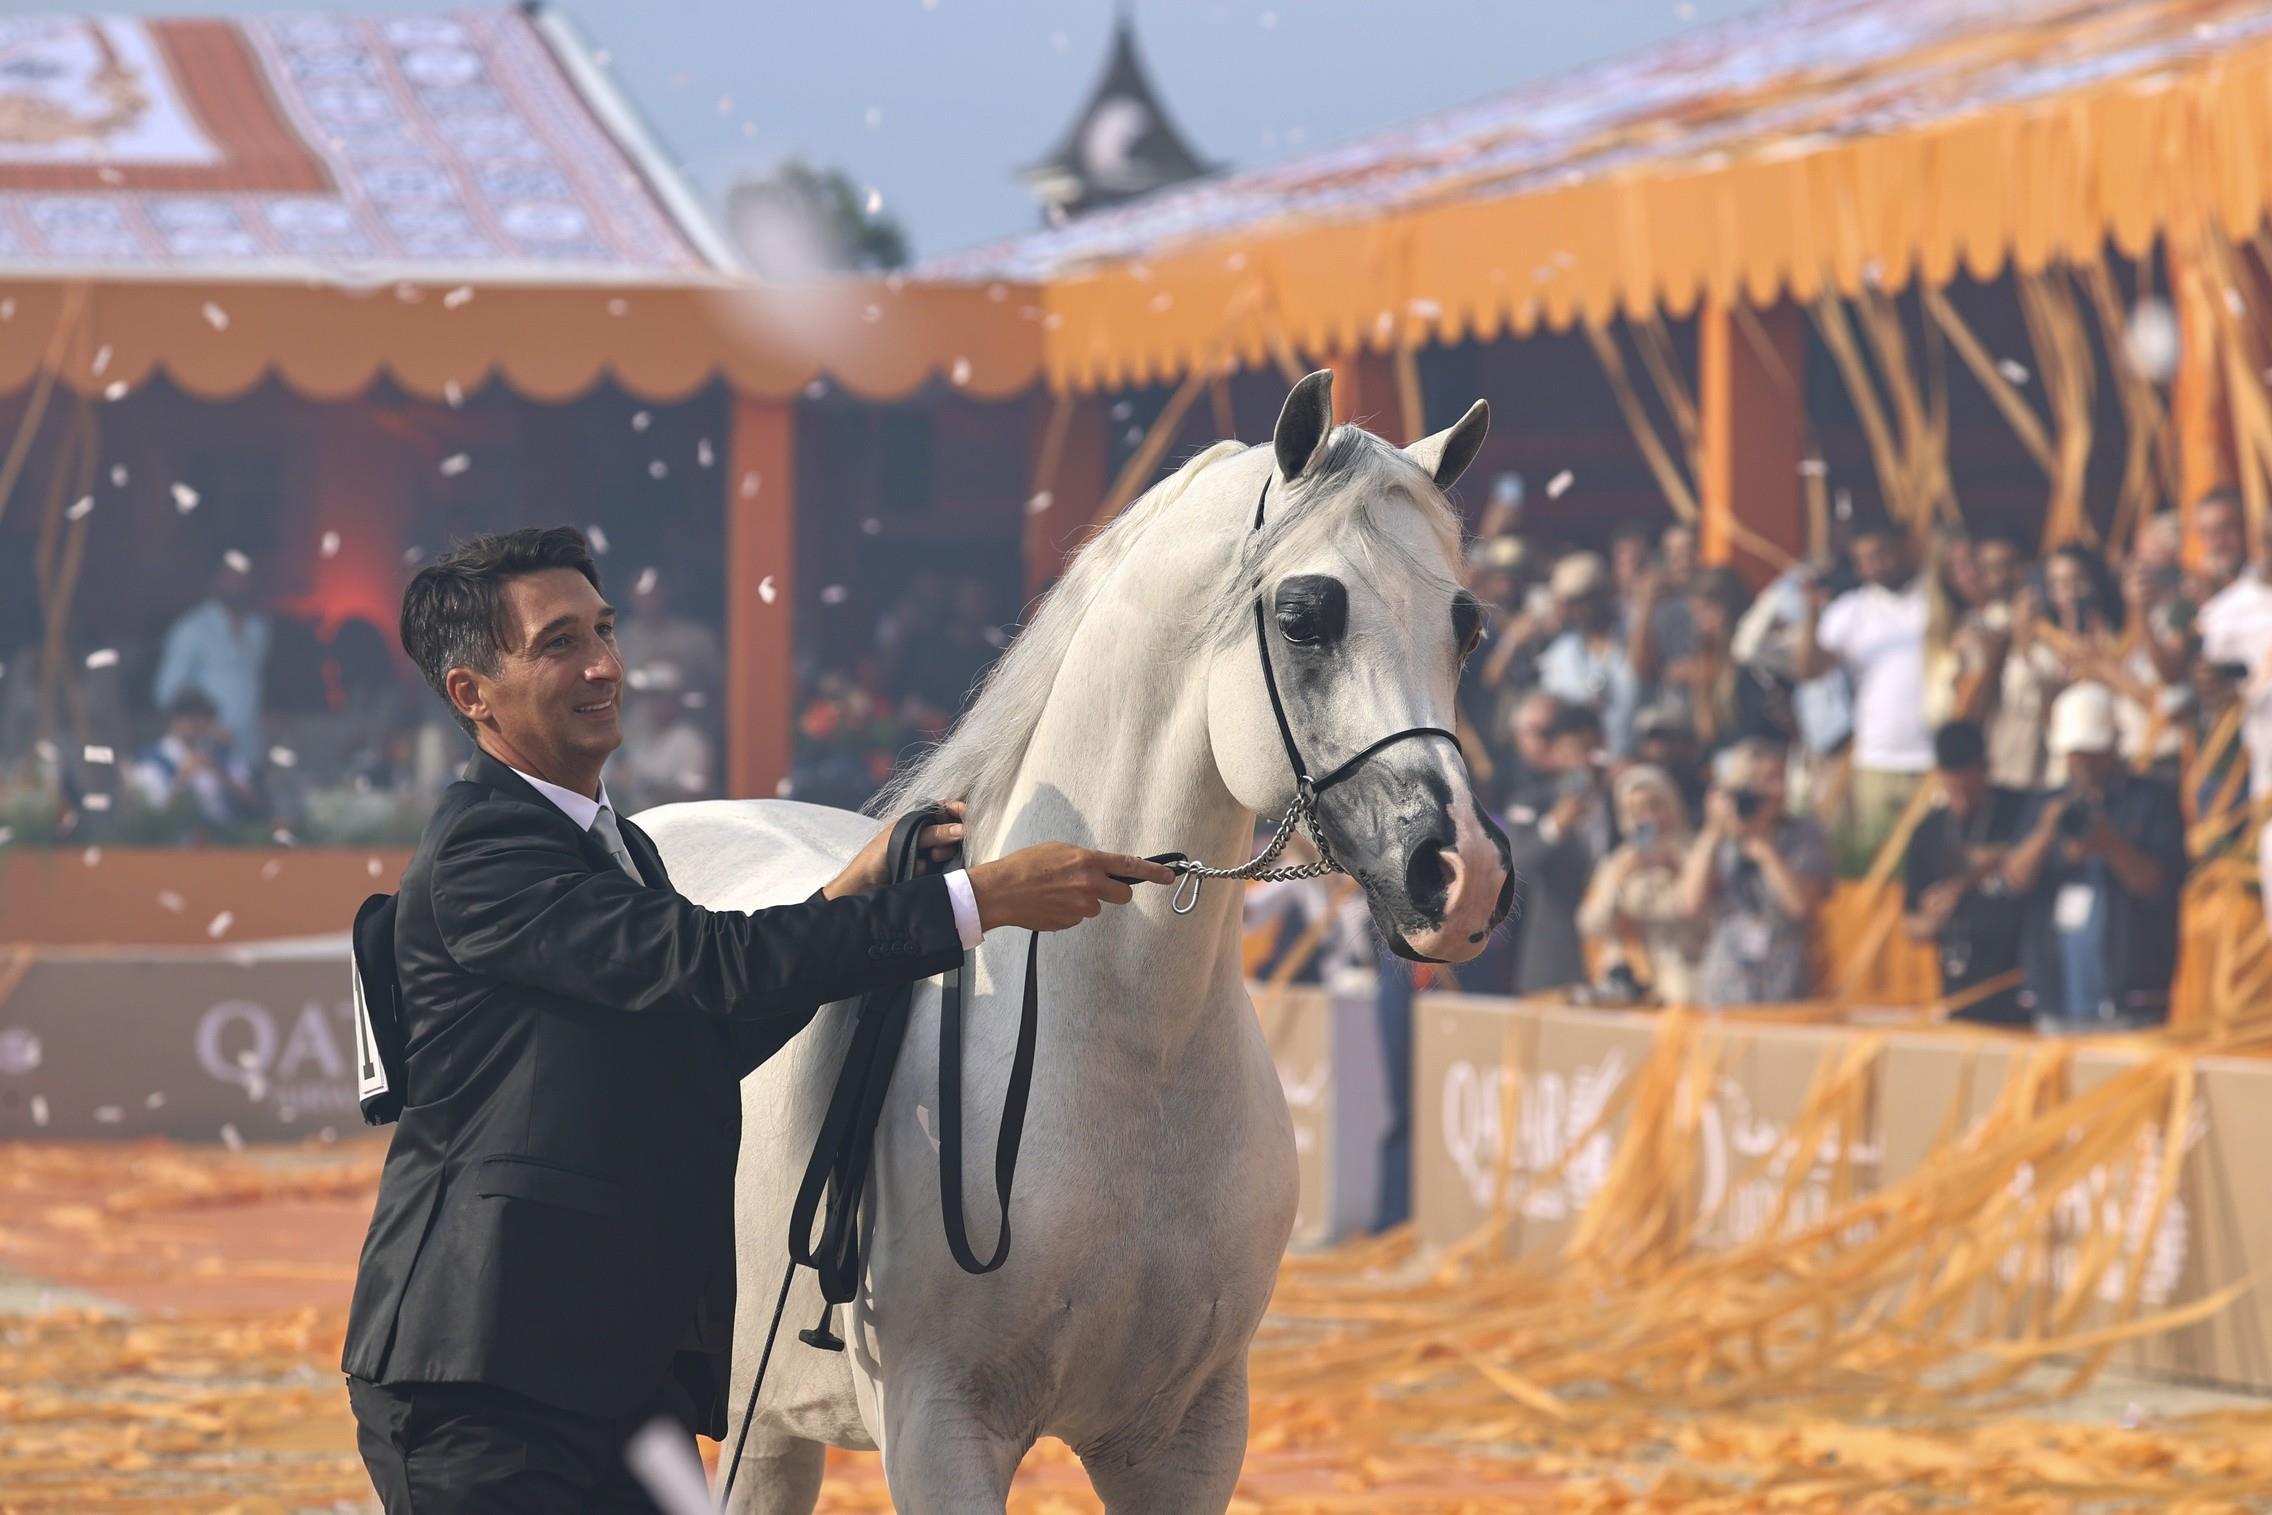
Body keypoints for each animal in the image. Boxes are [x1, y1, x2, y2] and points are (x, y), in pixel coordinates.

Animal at [645, 370, 1508, 1515]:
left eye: (1466, 626)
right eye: (1303, 616)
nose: (1460, 873)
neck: (1121, 1058)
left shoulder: (1187, 1440)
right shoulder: (942, 1435)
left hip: (773, 1427)